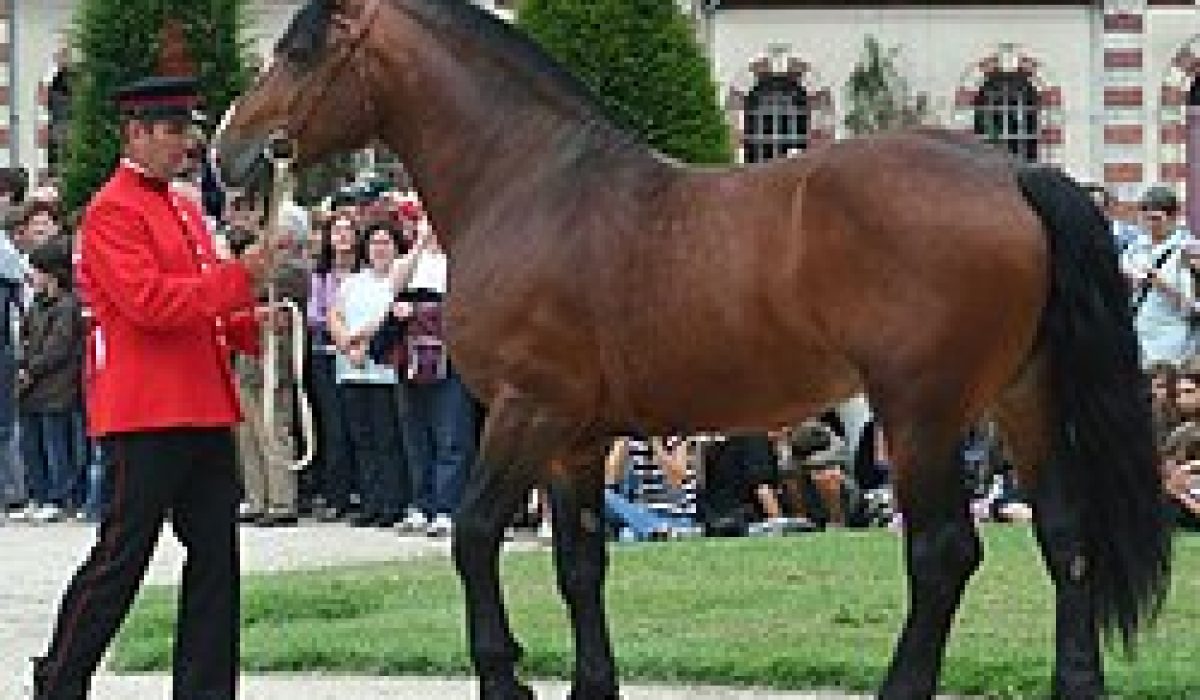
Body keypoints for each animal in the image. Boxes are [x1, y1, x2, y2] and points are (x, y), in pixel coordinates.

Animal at [213, 0, 1171, 697]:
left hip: (922, 415)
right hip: (1024, 398)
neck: (531, 186)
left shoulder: (525, 412)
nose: (228, 153)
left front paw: (504, 676)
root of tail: (1011, 170)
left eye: (300, 52)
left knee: (942, 555)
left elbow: (476, 535)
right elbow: (580, 563)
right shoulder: (575, 440)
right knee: (1065, 536)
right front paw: (590, 685)